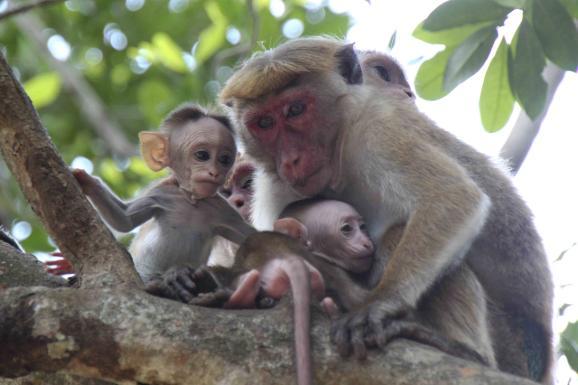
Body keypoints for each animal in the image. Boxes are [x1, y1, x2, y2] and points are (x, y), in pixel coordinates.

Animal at [72, 102, 254, 288]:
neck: (192, 201)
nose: (214, 173)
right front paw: (87, 181)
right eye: (202, 155)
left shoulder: (223, 209)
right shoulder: (161, 193)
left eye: (224, 159)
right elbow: (124, 219)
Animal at [218, 37, 552, 382]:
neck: (339, 155)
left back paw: (464, 352)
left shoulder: (378, 128)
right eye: (264, 123)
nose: (291, 160)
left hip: (512, 347)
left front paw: (380, 303)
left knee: (401, 233)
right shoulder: (275, 186)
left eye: (295, 110)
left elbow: (451, 195)